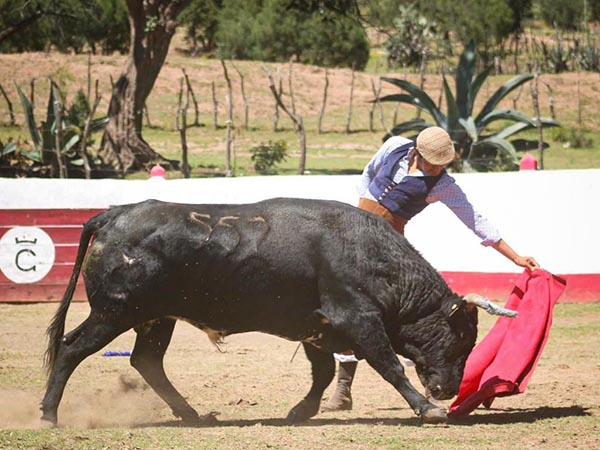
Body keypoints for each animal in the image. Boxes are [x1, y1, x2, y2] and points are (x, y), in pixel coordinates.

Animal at [41, 198, 478, 426]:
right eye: (461, 341)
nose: (450, 389)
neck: (368, 254)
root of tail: (114, 213)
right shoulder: (357, 319)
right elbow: (389, 364)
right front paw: (428, 408)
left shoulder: (315, 326)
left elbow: (322, 372)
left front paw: (300, 411)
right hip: (113, 313)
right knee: (71, 347)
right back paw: (48, 414)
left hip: (155, 318)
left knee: (147, 361)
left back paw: (192, 415)